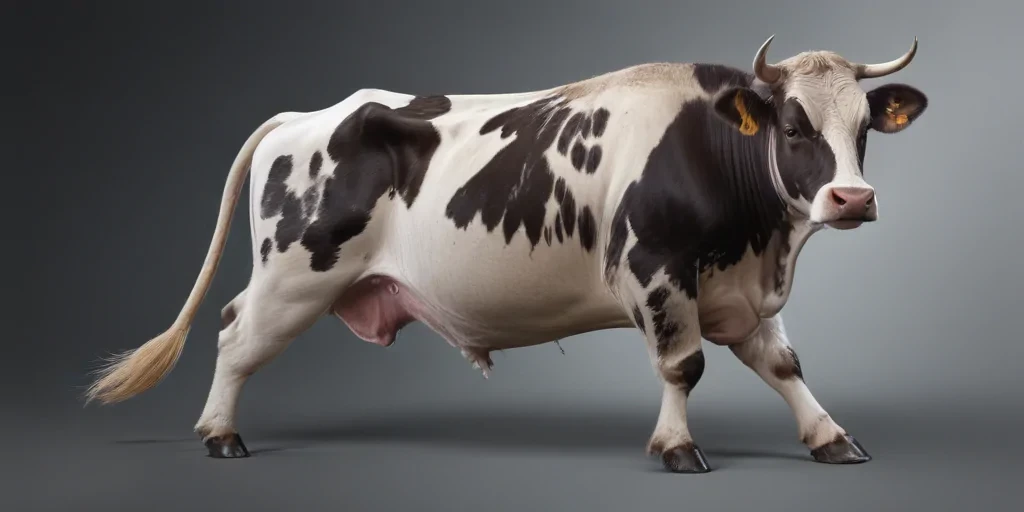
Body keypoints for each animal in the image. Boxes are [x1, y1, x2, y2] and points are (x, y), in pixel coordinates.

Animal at [85, 36, 928, 473]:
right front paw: (677, 445)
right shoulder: (655, 270)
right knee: (235, 335)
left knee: (233, 325)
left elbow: (784, 366)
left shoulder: (737, 289)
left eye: (863, 130)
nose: (852, 198)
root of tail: (310, 114)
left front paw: (830, 437)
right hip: (295, 272)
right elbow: (682, 366)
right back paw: (220, 435)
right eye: (792, 126)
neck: (763, 246)